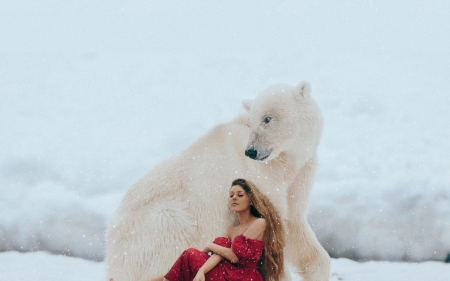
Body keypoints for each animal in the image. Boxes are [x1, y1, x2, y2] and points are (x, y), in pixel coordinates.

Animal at [105, 81, 330, 280]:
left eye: (267, 118)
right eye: (251, 123)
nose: (251, 151)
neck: (284, 163)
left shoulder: (298, 177)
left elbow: (294, 226)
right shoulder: (261, 177)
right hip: (153, 229)